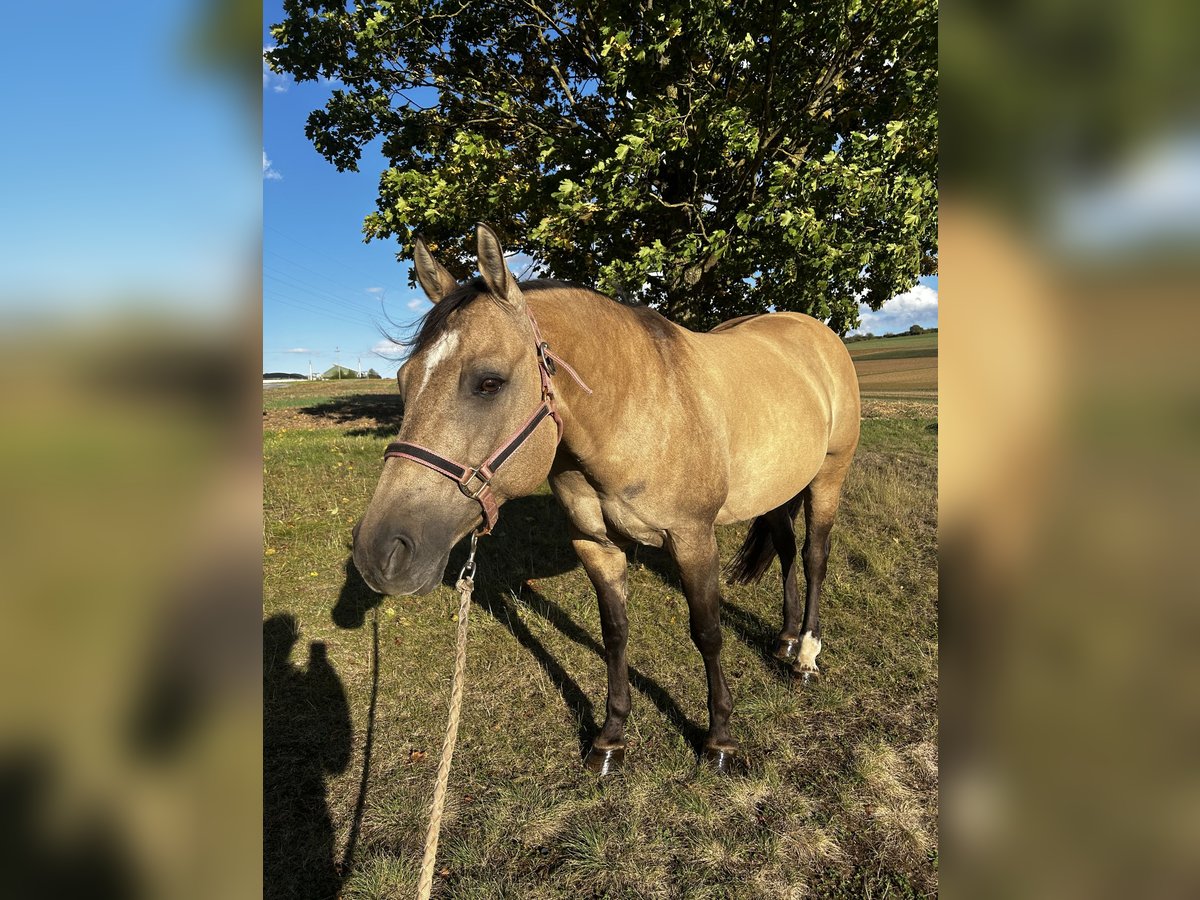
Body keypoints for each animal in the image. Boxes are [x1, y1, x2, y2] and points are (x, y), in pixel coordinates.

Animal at [352, 224, 860, 773]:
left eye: (489, 383)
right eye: (404, 381)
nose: (379, 552)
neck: (638, 408)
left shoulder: (693, 540)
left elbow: (707, 632)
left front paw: (720, 739)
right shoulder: (595, 543)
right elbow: (614, 632)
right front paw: (611, 737)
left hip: (828, 476)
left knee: (813, 556)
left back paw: (806, 656)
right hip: (777, 488)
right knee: (786, 550)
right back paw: (786, 639)